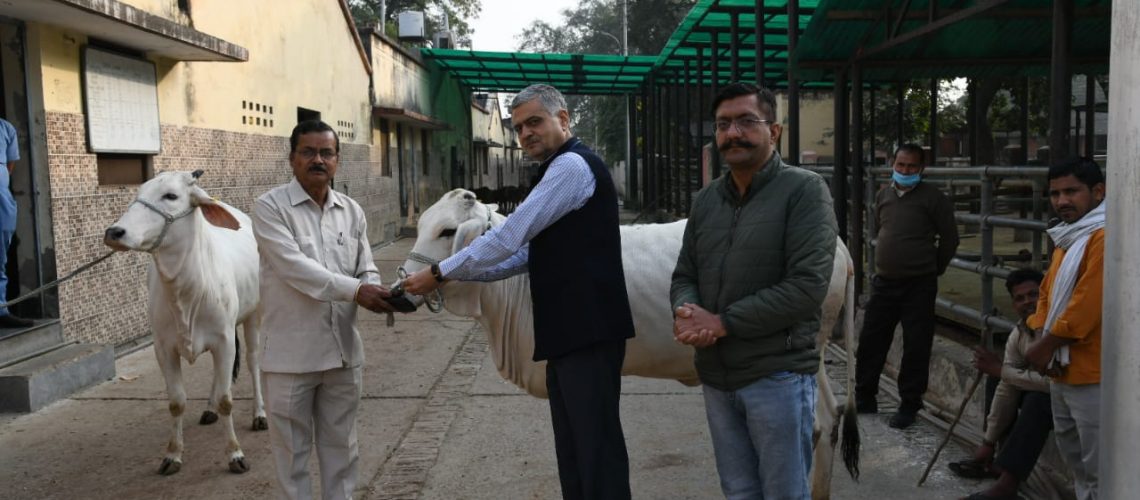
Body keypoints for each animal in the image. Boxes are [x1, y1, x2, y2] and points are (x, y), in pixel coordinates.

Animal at [103, 170, 265, 476]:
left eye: (171, 196)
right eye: (138, 192)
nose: (114, 233)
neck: (186, 293)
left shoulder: (225, 341)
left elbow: (227, 400)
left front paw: (235, 454)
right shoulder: (164, 348)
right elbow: (177, 402)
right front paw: (173, 455)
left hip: (254, 317)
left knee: (253, 363)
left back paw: (259, 414)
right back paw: (210, 409)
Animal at [399, 190, 857, 498]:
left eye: (447, 231)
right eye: (421, 227)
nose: (402, 288)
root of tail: (839, 244)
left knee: (809, 428)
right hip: (814, 356)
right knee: (830, 419)